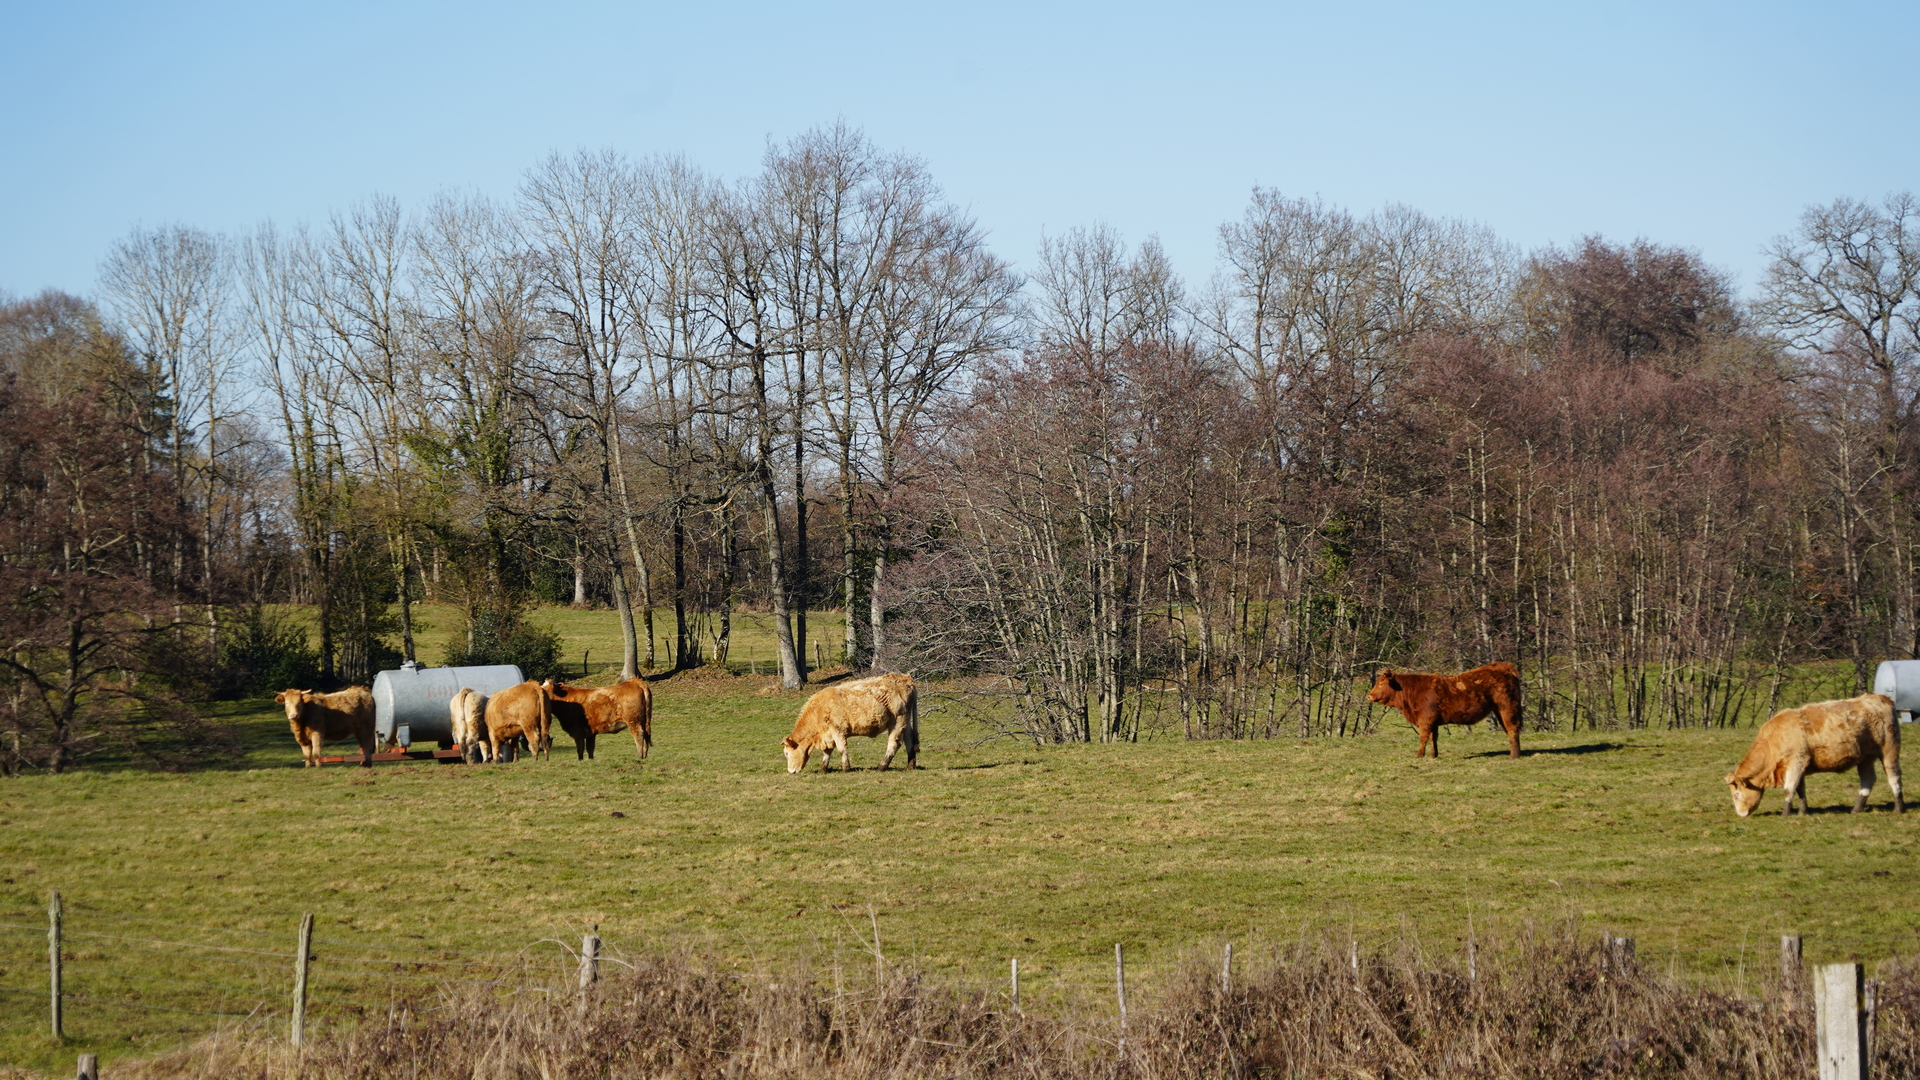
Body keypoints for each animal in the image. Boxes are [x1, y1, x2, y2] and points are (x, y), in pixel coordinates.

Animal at [775, 668, 917, 768]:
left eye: (786, 753)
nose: (791, 771)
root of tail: (906, 678)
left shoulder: (838, 730)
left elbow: (841, 749)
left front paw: (846, 768)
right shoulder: (828, 734)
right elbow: (827, 752)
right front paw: (823, 768)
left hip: (897, 720)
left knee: (894, 743)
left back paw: (882, 767)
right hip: (905, 722)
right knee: (909, 740)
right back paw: (911, 765)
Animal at [1367, 657, 1528, 757]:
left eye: (1381, 684)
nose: (1369, 696)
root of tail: (1502, 667)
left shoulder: (1426, 720)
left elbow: (1423, 737)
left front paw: (1419, 756)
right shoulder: (1434, 722)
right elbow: (1434, 738)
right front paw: (1434, 755)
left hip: (1507, 708)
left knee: (1512, 729)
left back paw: (1514, 756)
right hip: (1500, 710)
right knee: (1509, 729)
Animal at [1728, 687, 1904, 814]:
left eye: (1736, 795)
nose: (1741, 814)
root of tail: (1881, 698)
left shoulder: (1796, 762)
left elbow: (1789, 789)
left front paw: (1785, 814)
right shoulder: (1799, 766)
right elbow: (1800, 790)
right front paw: (1802, 812)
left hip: (1889, 750)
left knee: (1894, 777)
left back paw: (1899, 808)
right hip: (1865, 758)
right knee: (1868, 780)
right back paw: (1856, 809)